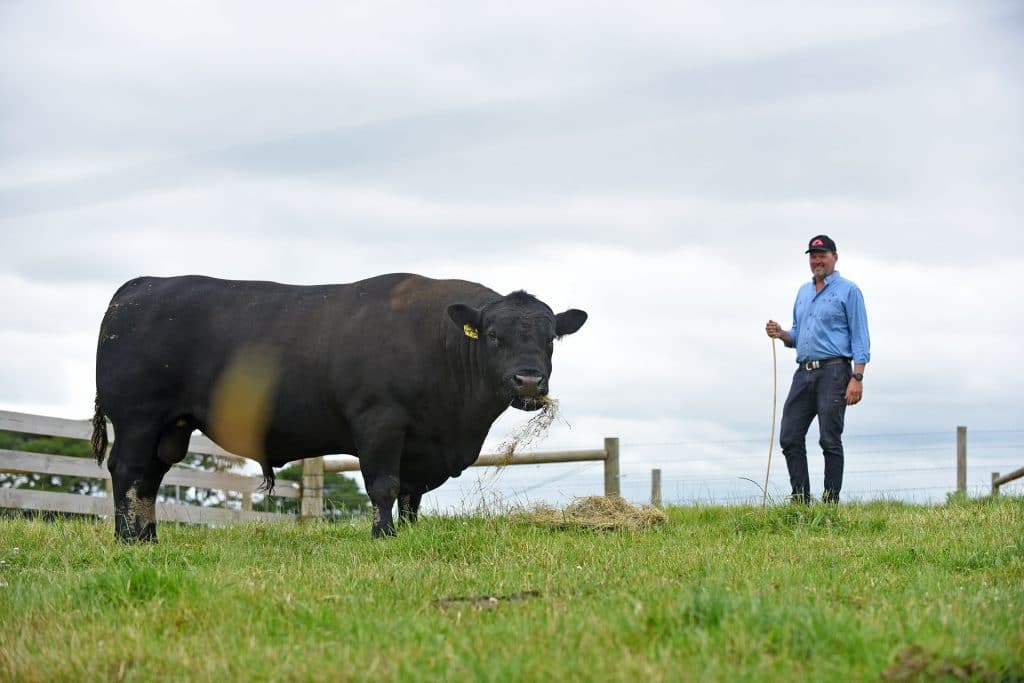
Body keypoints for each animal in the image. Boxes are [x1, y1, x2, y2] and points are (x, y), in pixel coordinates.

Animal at [90, 273, 587, 542]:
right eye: (494, 336)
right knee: (128, 470)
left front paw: (408, 533)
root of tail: (142, 286)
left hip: (170, 426)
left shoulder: (422, 444)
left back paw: (149, 537)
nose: (529, 381)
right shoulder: (380, 422)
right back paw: (128, 540)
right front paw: (383, 536)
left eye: (551, 339)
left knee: (149, 477)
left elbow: (411, 497)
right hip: (138, 417)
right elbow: (385, 486)